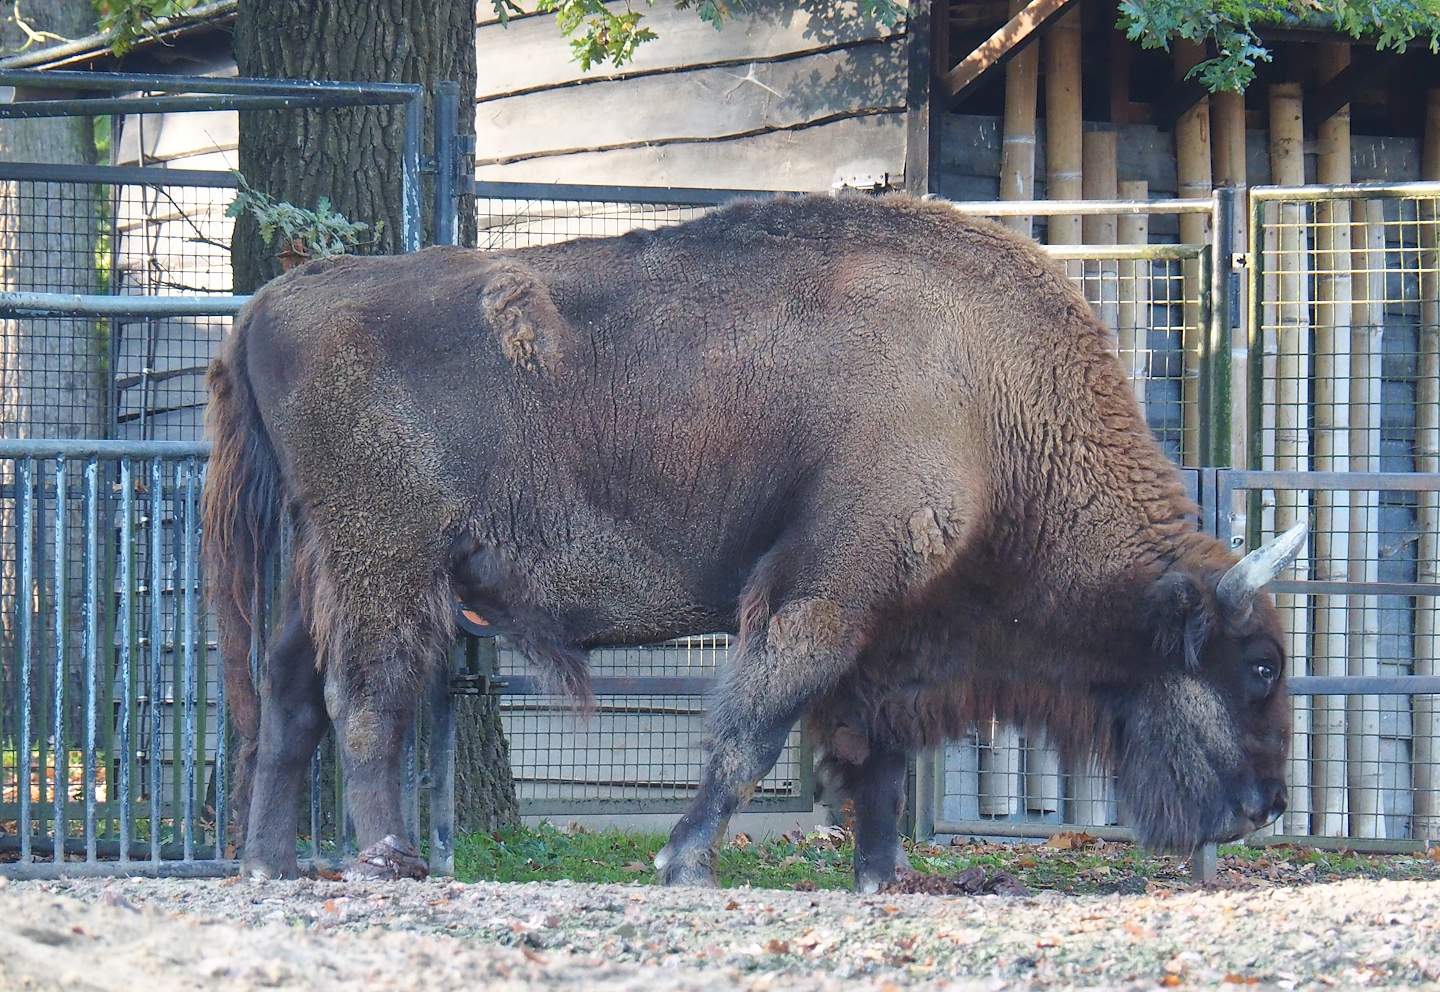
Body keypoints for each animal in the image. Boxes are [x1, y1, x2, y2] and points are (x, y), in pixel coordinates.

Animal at [204, 193, 1299, 888]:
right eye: (1258, 666)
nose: (1266, 806)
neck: (989, 402)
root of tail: (271, 301)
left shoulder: (882, 630)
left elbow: (869, 751)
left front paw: (886, 875)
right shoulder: (824, 590)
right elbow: (754, 726)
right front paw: (682, 861)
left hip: (319, 564)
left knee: (290, 694)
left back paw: (268, 862)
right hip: (384, 560)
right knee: (364, 697)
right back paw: (386, 860)